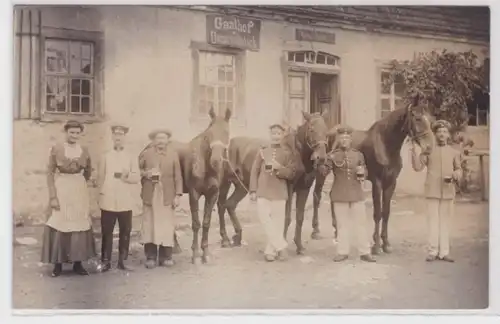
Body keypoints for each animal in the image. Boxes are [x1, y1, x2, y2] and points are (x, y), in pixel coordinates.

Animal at [139, 106, 229, 264]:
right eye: (209, 134)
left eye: (226, 132)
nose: (216, 161)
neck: (204, 164)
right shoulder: (194, 194)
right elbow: (196, 223)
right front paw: (195, 255)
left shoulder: (213, 194)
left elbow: (206, 223)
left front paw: (205, 253)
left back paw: (174, 247)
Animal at [217, 112, 330, 256]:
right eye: (311, 129)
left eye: (326, 131)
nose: (321, 158)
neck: (297, 154)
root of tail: (227, 145)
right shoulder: (288, 188)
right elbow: (286, 218)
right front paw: (282, 247)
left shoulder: (304, 188)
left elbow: (299, 217)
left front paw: (299, 246)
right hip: (225, 182)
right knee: (221, 205)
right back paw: (225, 238)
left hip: (242, 186)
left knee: (230, 204)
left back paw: (237, 236)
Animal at [308, 105, 434, 254]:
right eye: (418, 118)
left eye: (429, 118)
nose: (429, 147)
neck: (386, 145)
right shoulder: (377, 183)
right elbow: (377, 213)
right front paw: (376, 246)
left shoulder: (391, 183)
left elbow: (386, 212)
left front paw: (386, 244)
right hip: (322, 171)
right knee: (317, 195)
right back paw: (316, 231)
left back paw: (337, 231)